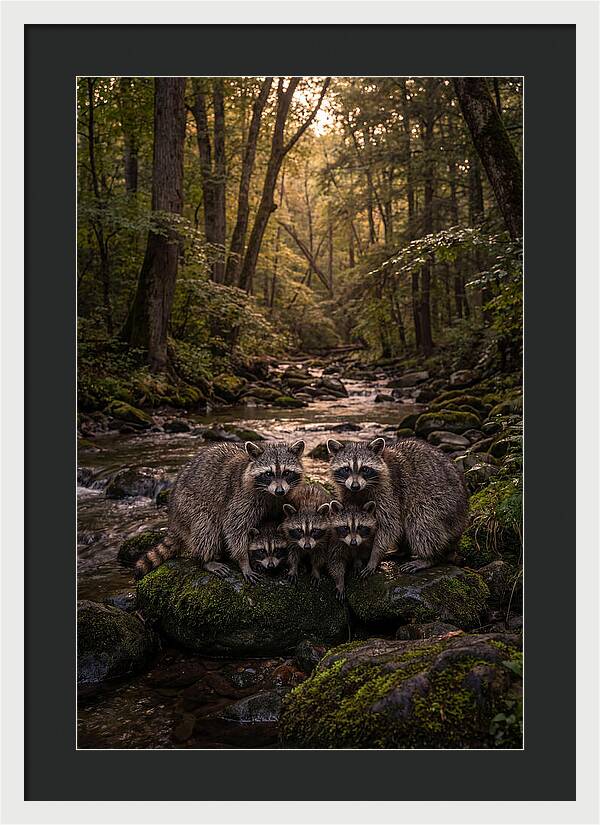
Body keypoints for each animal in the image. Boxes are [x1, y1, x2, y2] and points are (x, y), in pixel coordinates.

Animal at [135, 440, 305, 583]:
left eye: (287, 472)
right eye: (268, 474)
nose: (280, 491)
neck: (270, 494)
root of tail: (173, 518)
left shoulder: (283, 499)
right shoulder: (241, 498)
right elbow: (235, 529)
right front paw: (244, 561)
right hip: (188, 504)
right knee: (206, 527)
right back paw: (206, 560)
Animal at [327, 436, 468, 576]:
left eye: (365, 469)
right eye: (346, 469)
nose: (355, 486)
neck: (361, 490)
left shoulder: (389, 490)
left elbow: (389, 525)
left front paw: (374, 556)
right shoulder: (347, 492)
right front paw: (358, 554)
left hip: (443, 503)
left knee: (421, 521)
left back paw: (429, 557)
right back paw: (402, 550)